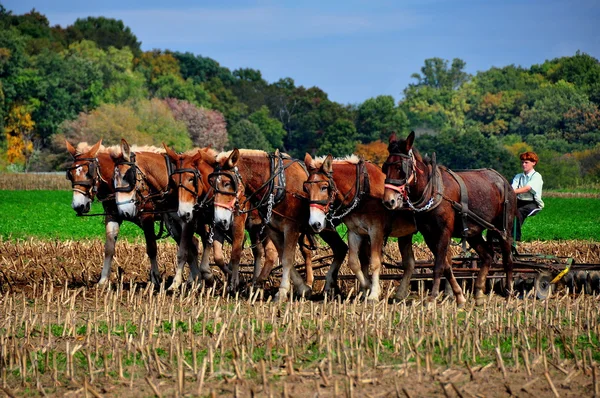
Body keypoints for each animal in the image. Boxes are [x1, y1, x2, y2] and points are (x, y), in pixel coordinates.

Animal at [162, 145, 278, 290]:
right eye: (173, 180)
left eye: (191, 179)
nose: (183, 212)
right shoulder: (202, 222)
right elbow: (209, 255)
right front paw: (178, 282)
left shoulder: (236, 221)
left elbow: (234, 252)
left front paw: (234, 280)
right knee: (258, 252)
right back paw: (254, 280)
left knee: (268, 252)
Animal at [212, 149, 350, 302]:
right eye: (212, 183)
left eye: (226, 183)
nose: (219, 220)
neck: (278, 186)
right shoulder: (272, 229)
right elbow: (282, 255)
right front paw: (303, 288)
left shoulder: (291, 227)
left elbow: (287, 259)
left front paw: (282, 291)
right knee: (340, 249)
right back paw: (331, 288)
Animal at [304, 154, 418, 300]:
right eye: (306, 189)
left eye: (324, 187)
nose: (315, 223)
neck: (362, 192)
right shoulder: (354, 232)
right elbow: (354, 262)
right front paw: (366, 288)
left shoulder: (376, 231)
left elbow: (375, 262)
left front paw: (374, 293)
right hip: (405, 234)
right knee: (409, 263)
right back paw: (400, 294)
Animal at [382, 132, 516, 306]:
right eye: (385, 167)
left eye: (400, 168)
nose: (389, 201)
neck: (432, 190)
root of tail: (503, 180)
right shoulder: (429, 235)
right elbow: (446, 266)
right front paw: (459, 296)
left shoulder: (444, 231)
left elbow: (438, 265)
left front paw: (432, 298)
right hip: (473, 232)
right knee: (487, 256)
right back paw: (479, 293)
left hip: (503, 228)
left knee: (508, 260)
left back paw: (509, 294)